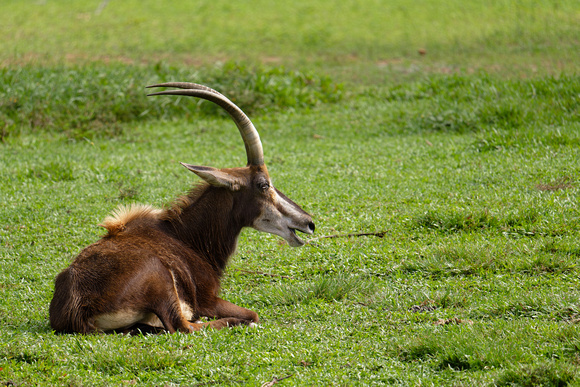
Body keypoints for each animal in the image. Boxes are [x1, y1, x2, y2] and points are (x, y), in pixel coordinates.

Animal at [48, 83, 318, 334]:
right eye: (264, 184)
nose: (309, 223)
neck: (184, 236)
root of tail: (77, 307)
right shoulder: (207, 299)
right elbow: (253, 313)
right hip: (160, 277)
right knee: (184, 326)